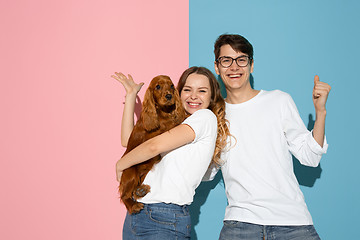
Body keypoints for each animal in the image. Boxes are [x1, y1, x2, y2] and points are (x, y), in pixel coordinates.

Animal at [119, 74, 186, 214]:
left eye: (172, 86)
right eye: (158, 86)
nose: (169, 96)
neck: (163, 111)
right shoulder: (157, 132)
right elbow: (174, 122)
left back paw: (141, 190)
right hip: (131, 173)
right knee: (124, 195)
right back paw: (134, 205)